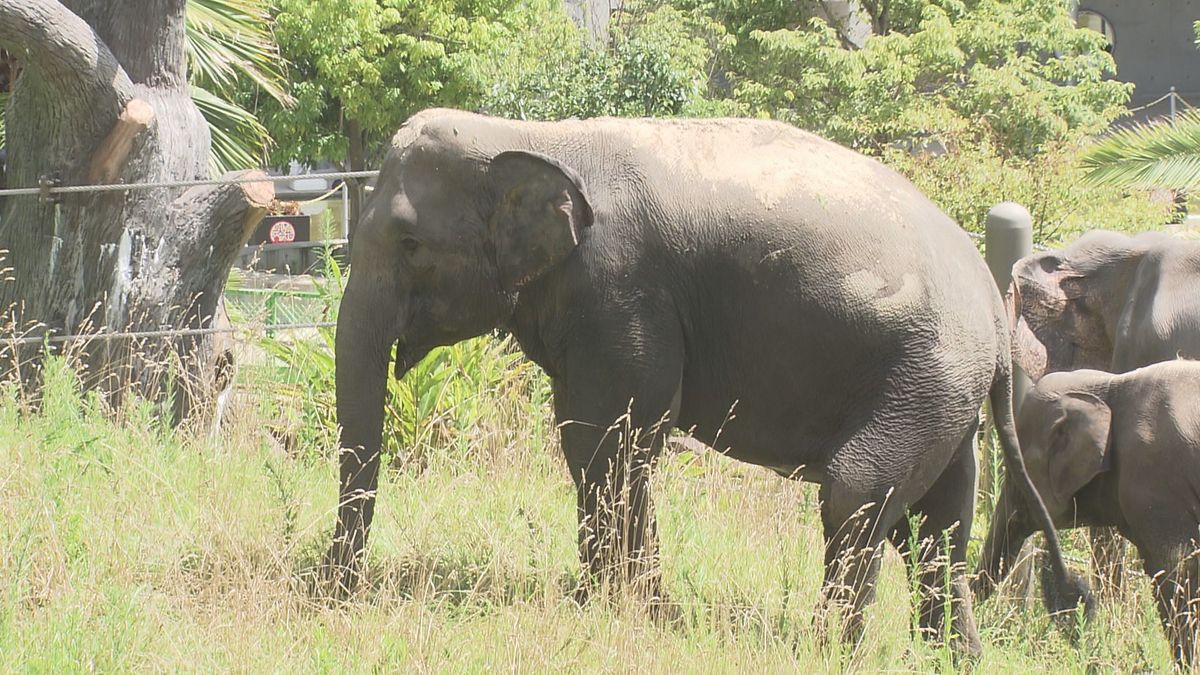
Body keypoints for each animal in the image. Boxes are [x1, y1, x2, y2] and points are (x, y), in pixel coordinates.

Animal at [319, 107, 1089, 653]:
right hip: (945, 394)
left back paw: (827, 651)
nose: (333, 598)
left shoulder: (623, 289)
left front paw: (611, 614)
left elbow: (605, 439)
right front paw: (643, 614)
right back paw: (949, 658)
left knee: (859, 495)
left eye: (411, 243)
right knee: (938, 523)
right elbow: (609, 440)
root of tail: (994, 307)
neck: (532, 136)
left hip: (925, 374)